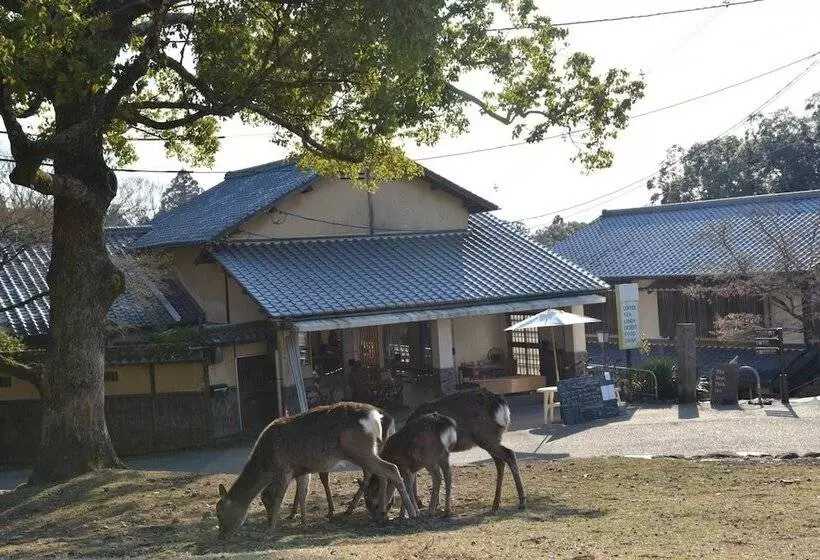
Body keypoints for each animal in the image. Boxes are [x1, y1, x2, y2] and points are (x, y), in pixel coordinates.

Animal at [260, 409, 396, 524]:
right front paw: (293, 513)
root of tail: (388, 421)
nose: (269, 518)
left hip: (366, 453)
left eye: (267, 500)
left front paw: (329, 511)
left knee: (375, 474)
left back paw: (353, 509)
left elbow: (319, 482)